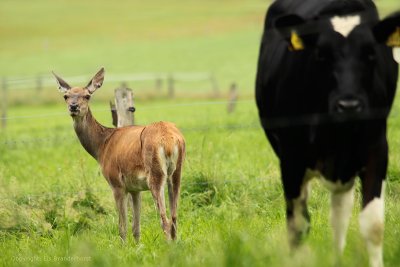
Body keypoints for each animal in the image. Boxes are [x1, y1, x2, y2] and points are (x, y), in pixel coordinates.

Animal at [51, 68, 186, 242]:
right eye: (66, 96)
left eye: (87, 95)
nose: (73, 107)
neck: (102, 146)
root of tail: (169, 139)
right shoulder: (135, 188)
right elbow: (136, 228)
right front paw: (138, 246)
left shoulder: (116, 182)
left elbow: (122, 227)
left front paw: (123, 246)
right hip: (176, 172)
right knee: (174, 218)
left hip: (155, 173)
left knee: (165, 221)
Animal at [256, 1, 400, 266]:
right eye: (321, 54)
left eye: (371, 53)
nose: (349, 105)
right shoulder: (291, 160)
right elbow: (297, 225)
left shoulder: (377, 149)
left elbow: (373, 225)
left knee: (339, 216)